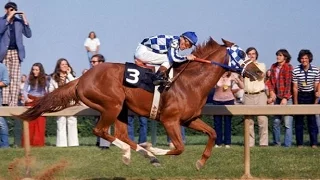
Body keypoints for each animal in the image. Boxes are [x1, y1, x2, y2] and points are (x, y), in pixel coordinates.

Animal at [16, 37, 264, 169]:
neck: (191, 82)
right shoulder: (170, 120)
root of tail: (81, 78)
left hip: (122, 109)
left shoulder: (189, 119)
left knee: (121, 134)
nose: (259, 72)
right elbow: (179, 148)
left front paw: (201, 163)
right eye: (242, 54)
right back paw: (141, 153)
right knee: (101, 131)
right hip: (112, 105)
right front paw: (155, 149)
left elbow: (212, 133)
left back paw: (138, 155)